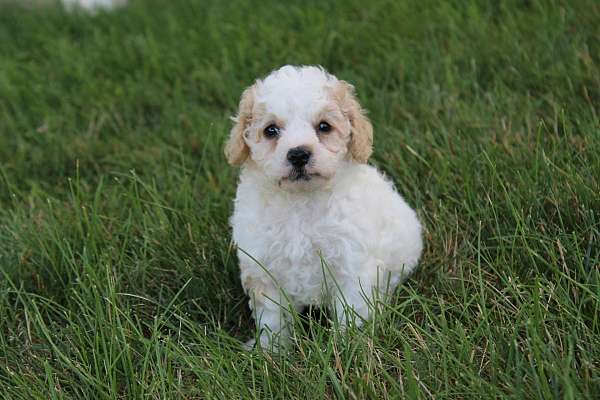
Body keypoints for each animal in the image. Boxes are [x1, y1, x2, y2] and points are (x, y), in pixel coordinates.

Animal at [225, 65, 422, 350]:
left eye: (324, 127)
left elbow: (351, 313)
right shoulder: (264, 269)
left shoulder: (351, 268)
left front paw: (348, 349)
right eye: (271, 130)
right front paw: (271, 351)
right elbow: (272, 318)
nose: (298, 154)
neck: (300, 202)